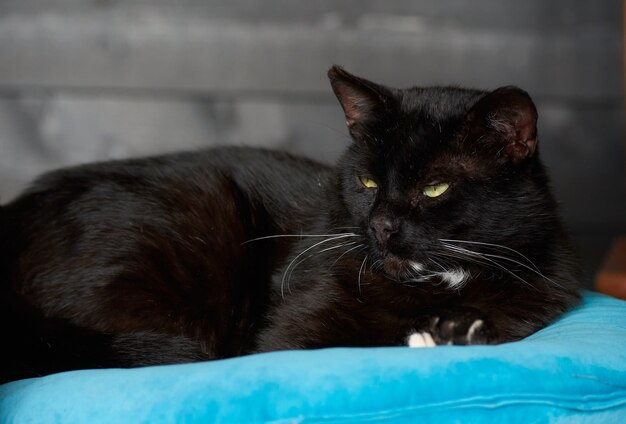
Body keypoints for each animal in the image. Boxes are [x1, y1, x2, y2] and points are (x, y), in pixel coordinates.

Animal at [0, 67, 576, 384]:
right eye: (367, 181)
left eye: (435, 187)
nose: (382, 225)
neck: (431, 285)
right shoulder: (293, 333)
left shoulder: (539, 296)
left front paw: (460, 331)